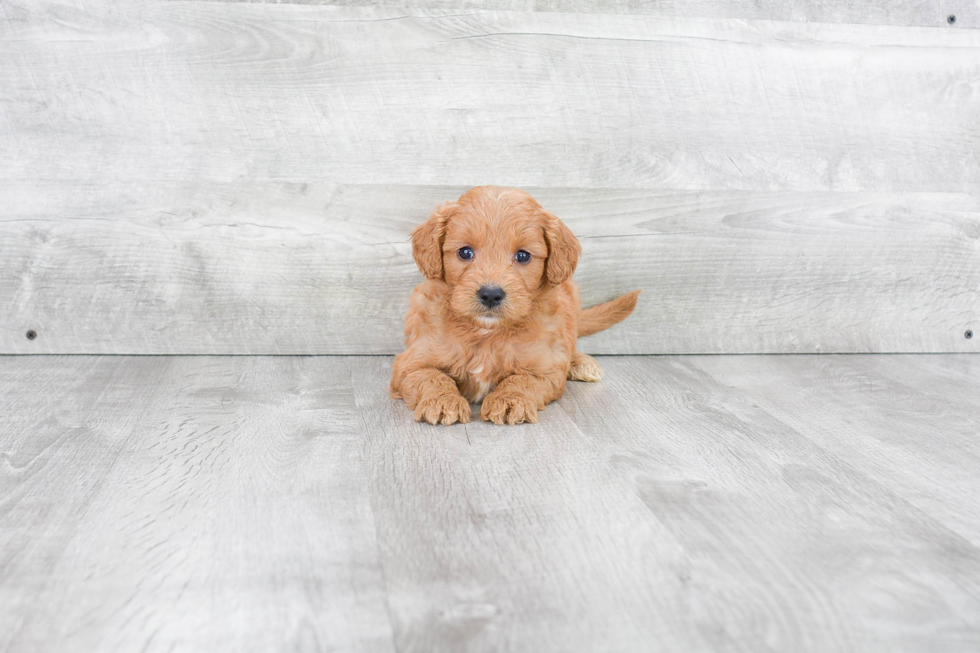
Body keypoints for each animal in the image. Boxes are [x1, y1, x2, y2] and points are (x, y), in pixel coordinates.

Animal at [390, 186, 644, 426]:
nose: (490, 294)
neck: (487, 333)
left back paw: (582, 363)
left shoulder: (544, 369)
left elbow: (521, 379)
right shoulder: (411, 363)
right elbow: (432, 377)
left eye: (523, 256)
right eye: (465, 252)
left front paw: (509, 401)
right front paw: (443, 402)